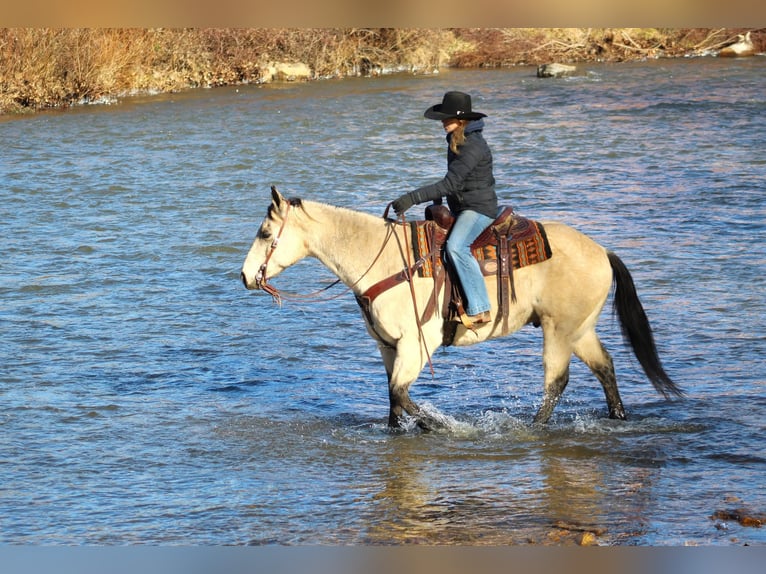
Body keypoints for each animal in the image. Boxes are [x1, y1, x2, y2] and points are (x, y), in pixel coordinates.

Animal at [242, 187, 684, 430]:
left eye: (264, 233)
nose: (245, 275)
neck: (384, 259)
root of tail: (602, 252)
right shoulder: (387, 347)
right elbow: (393, 400)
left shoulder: (415, 345)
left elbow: (400, 393)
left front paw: (438, 426)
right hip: (579, 330)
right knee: (605, 367)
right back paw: (618, 417)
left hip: (558, 331)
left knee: (556, 382)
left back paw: (534, 428)